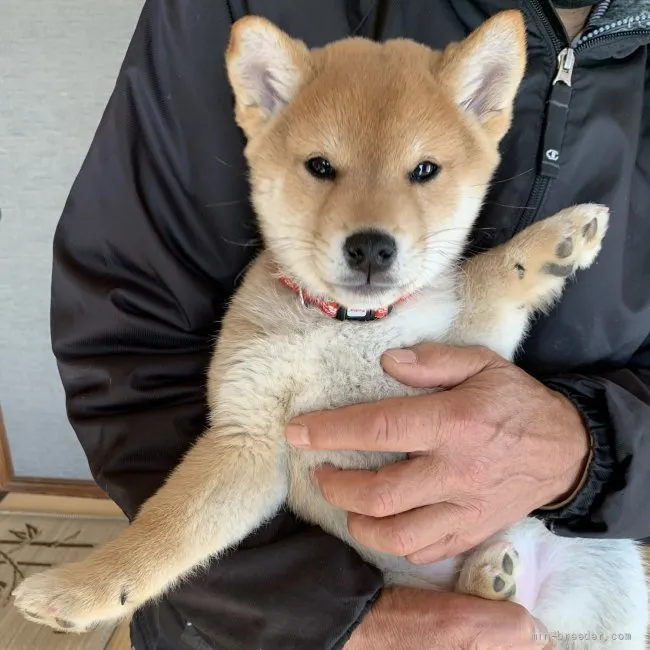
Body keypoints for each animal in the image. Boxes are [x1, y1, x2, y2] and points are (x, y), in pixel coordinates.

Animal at [12, 10, 644, 648]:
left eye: (424, 171)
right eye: (320, 166)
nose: (371, 246)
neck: (350, 328)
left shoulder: (460, 349)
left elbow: (486, 276)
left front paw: (556, 240)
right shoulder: (250, 437)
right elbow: (163, 532)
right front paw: (80, 590)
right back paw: (492, 579)